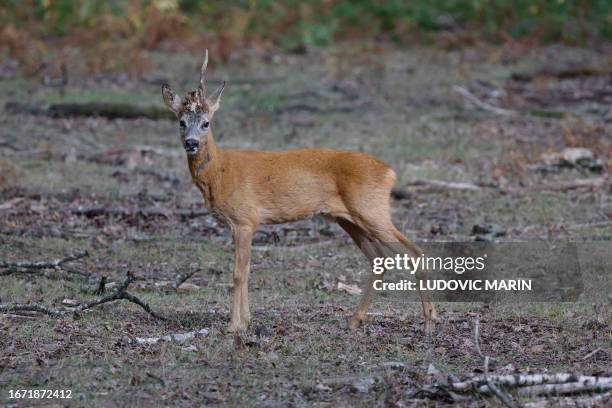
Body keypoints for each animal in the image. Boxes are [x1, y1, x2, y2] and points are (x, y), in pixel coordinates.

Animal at [163, 49, 436, 334]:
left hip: (371, 210)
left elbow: (238, 274)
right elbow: (247, 271)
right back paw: (354, 320)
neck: (220, 173)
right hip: (349, 218)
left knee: (415, 252)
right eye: (181, 122)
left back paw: (429, 321)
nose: (191, 143)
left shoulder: (245, 220)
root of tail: (389, 172)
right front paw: (246, 321)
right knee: (379, 259)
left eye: (206, 123)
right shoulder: (241, 224)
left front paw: (234, 326)